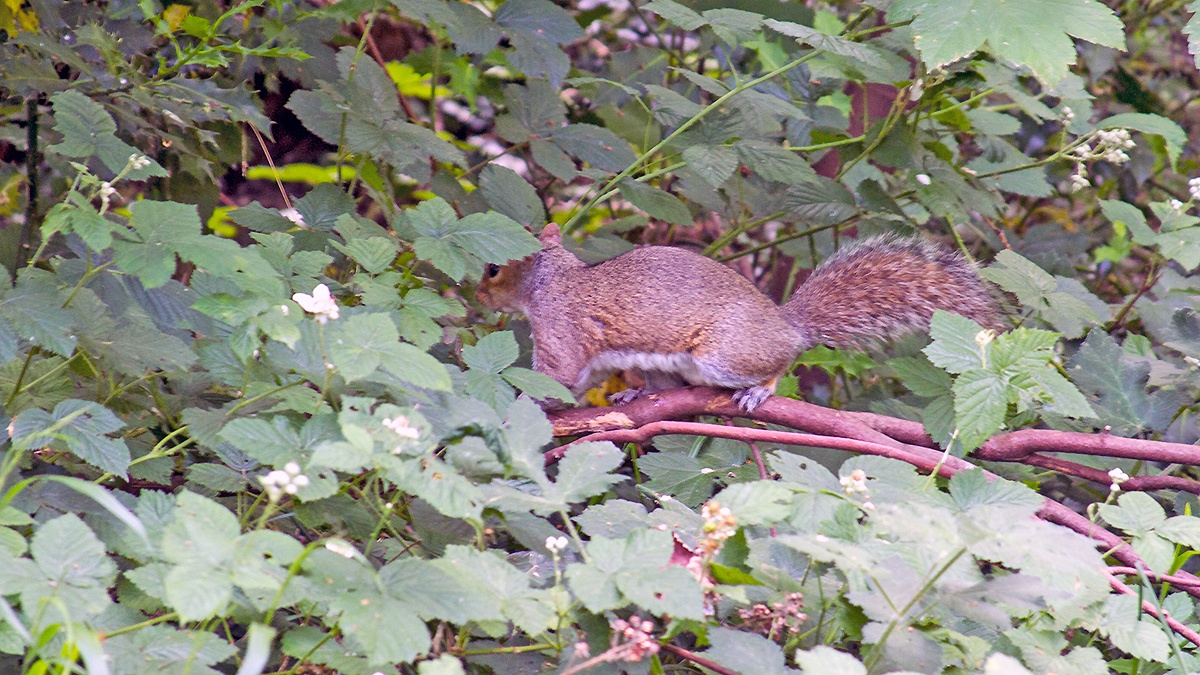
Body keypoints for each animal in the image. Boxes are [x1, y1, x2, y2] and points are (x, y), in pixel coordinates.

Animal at [475, 223, 1002, 411]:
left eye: (493, 267)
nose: (477, 296)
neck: (551, 280)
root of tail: (786, 325)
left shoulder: (560, 331)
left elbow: (556, 378)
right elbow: (580, 381)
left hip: (724, 356)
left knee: (776, 365)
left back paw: (758, 391)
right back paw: (635, 393)